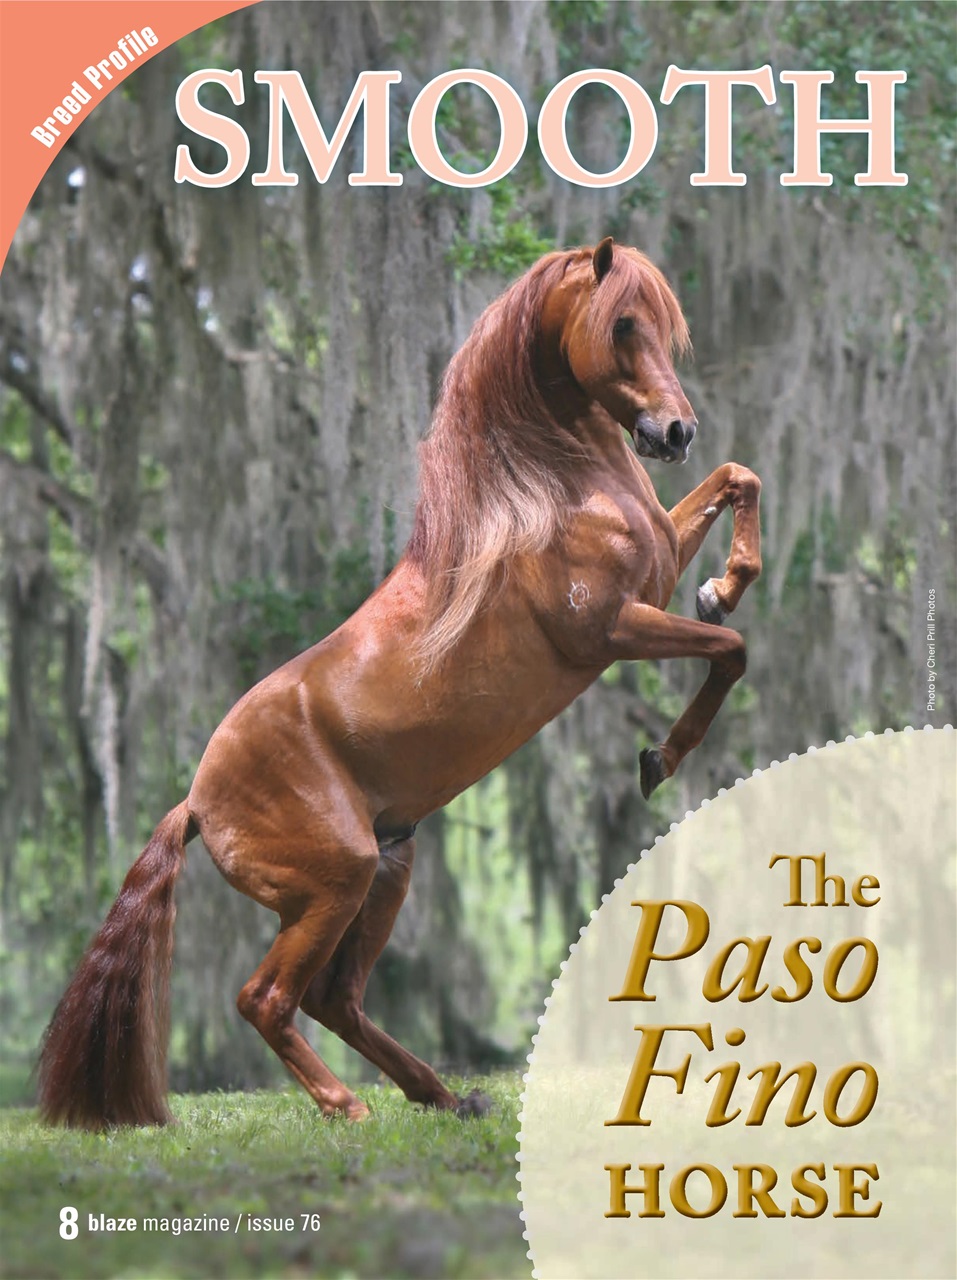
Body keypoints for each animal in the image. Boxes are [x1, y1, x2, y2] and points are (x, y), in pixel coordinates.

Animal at [37, 238, 761, 1129]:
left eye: (665, 325)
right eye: (622, 323)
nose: (674, 430)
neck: (549, 496)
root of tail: (197, 804)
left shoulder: (655, 576)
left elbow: (738, 480)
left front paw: (724, 583)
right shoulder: (611, 629)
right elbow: (729, 649)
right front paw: (659, 757)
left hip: (386, 872)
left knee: (334, 1000)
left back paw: (444, 1095)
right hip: (336, 882)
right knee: (266, 999)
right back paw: (348, 1106)